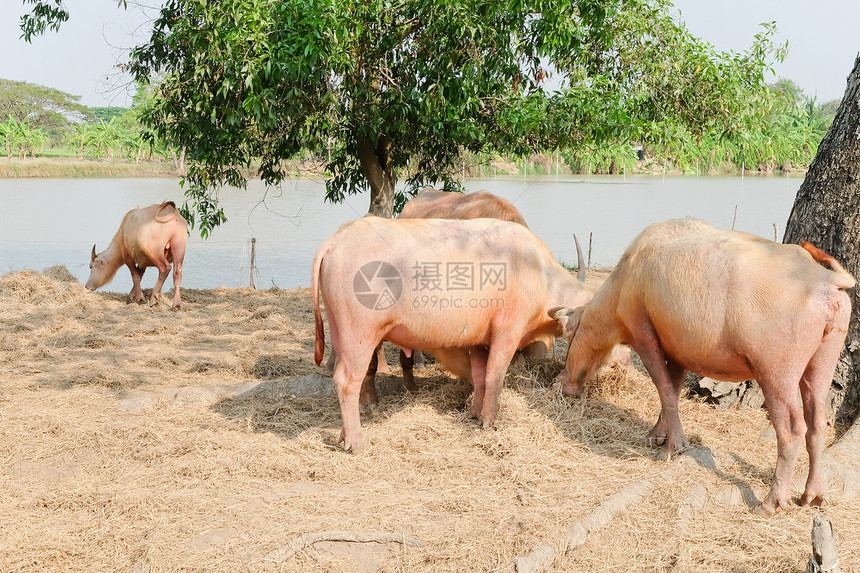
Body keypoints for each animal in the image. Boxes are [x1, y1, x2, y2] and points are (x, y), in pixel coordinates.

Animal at [312, 214, 600, 452]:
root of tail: (336, 240)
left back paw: (343, 436)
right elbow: (495, 376)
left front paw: (474, 414)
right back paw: (357, 442)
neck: (538, 273)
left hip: (339, 330)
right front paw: (490, 422)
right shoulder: (507, 332)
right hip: (360, 334)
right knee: (347, 380)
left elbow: (480, 376)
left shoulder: (479, 342)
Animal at [552, 218, 852, 512]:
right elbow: (672, 391)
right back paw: (814, 495)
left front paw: (674, 446)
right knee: (817, 423)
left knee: (791, 429)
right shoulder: (676, 351)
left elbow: (663, 389)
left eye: (569, 336)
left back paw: (772, 502)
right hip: (821, 364)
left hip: (776, 373)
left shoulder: (645, 336)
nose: (561, 382)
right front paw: (657, 435)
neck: (627, 279)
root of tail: (826, 279)